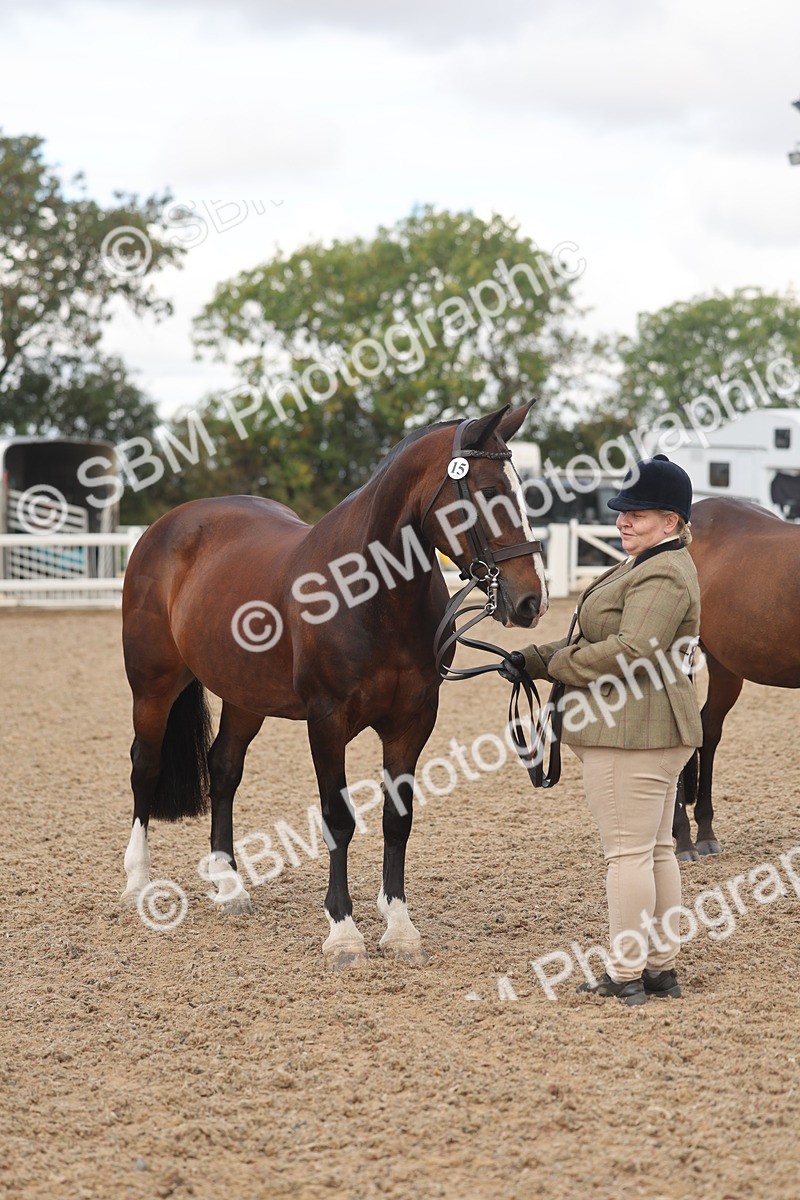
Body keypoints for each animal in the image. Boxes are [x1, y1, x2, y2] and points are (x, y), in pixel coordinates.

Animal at [120, 402, 548, 968]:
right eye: (487, 491)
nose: (530, 601)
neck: (371, 595)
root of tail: (166, 526)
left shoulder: (413, 720)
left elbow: (397, 819)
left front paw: (400, 927)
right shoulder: (327, 721)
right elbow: (338, 818)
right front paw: (344, 933)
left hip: (244, 696)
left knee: (224, 768)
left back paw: (230, 885)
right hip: (153, 687)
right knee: (144, 766)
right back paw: (138, 883)